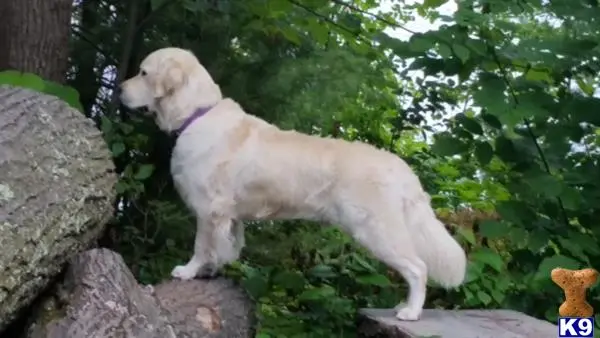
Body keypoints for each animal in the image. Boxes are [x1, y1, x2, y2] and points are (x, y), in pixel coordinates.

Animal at [118, 46, 468, 320]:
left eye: (143, 72)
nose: (119, 89)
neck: (196, 115)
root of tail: (401, 168)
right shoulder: (229, 215)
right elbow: (226, 247)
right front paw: (213, 271)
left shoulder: (209, 209)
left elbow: (201, 247)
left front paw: (189, 271)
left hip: (376, 230)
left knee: (418, 268)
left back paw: (411, 311)